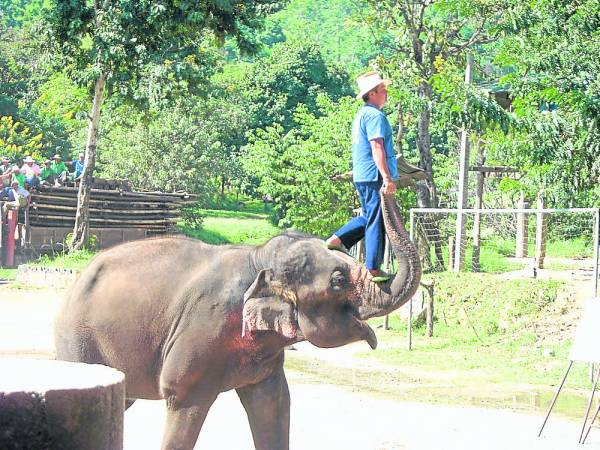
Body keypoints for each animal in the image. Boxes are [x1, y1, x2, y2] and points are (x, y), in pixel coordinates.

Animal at [52, 192, 422, 448]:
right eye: (338, 281)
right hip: (77, 340)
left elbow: (274, 404)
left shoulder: (266, 359)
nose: (385, 182)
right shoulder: (200, 335)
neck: (259, 257)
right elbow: (182, 398)